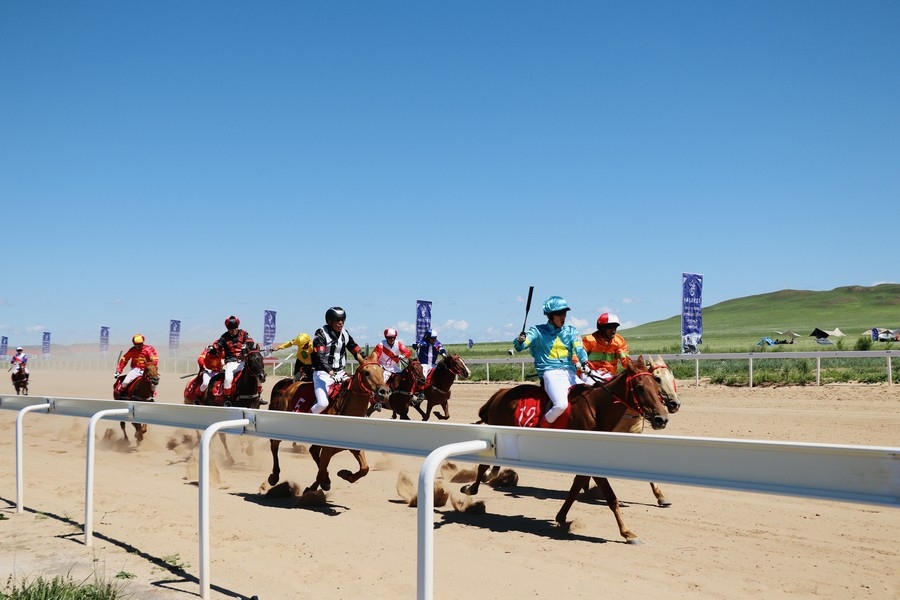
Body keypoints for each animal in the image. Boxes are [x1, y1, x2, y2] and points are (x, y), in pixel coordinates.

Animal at [263, 357, 390, 495]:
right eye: (366, 373)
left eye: (382, 372)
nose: (384, 392)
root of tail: (291, 386)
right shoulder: (328, 448)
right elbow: (321, 470)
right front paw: (311, 488)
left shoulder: (351, 445)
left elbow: (364, 468)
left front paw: (345, 474)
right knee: (274, 444)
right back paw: (274, 476)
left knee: (313, 451)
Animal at [461, 356, 669, 544]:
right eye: (640, 387)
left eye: (656, 384)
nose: (662, 418)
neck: (596, 410)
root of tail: (500, 393)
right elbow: (610, 496)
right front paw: (627, 533)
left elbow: (577, 486)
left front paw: (561, 517)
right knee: (482, 466)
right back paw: (471, 488)